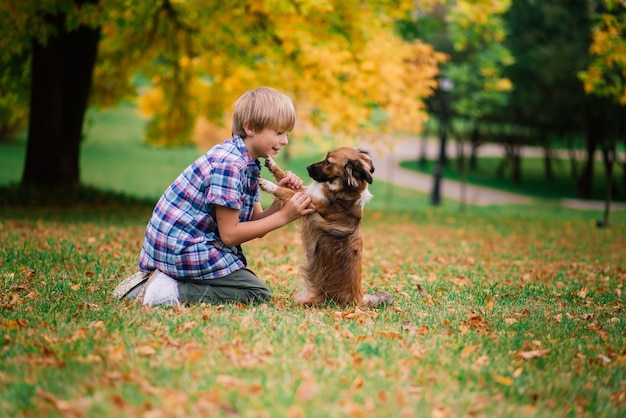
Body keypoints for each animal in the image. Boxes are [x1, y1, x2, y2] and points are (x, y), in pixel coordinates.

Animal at [258, 147, 390, 306]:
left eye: (328, 162)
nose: (307, 167)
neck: (340, 190)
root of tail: (358, 301)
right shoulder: (306, 192)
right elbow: (283, 176)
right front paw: (272, 164)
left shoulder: (308, 202)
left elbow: (285, 191)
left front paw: (268, 185)